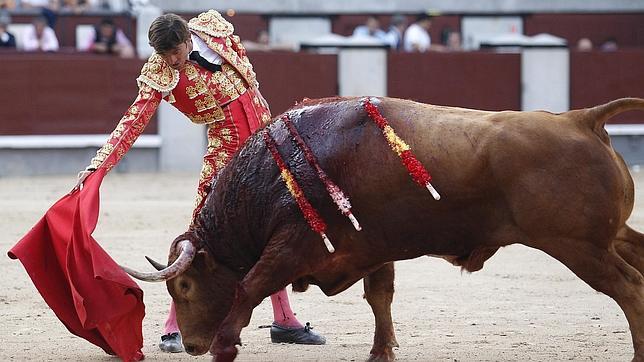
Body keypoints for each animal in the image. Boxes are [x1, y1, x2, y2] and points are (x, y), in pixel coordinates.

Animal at [123, 97, 640, 362]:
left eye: (184, 286)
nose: (191, 345)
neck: (274, 179)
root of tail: (582, 119)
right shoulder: (372, 249)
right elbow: (380, 298)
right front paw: (381, 353)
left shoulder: (289, 247)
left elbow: (248, 288)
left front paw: (225, 347)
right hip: (607, 237)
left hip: (577, 245)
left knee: (629, 287)